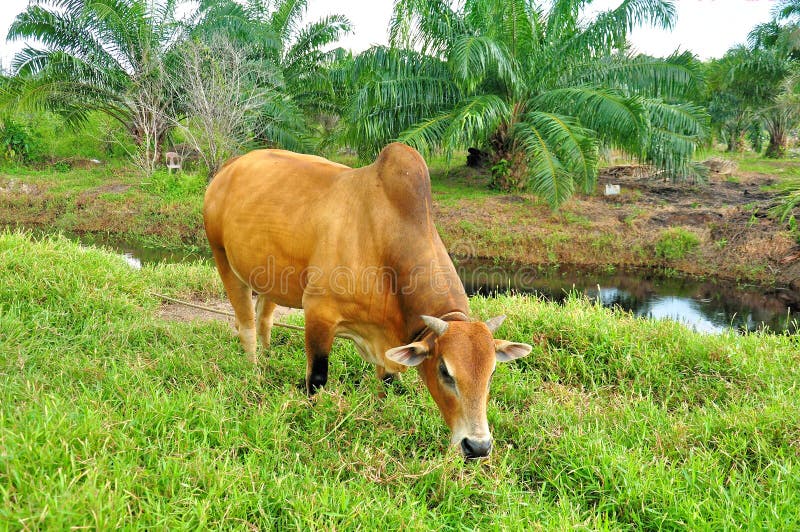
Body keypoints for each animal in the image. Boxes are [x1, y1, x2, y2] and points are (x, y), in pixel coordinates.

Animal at [203, 143, 532, 458]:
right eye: (444, 371)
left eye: (492, 372)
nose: (478, 446)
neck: (385, 239)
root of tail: (230, 166)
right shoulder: (319, 312)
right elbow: (317, 378)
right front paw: (313, 415)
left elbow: (387, 381)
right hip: (223, 259)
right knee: (246, 324)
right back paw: (254, 371)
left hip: (272, 279)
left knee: (264, 317)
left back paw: (269, 357)